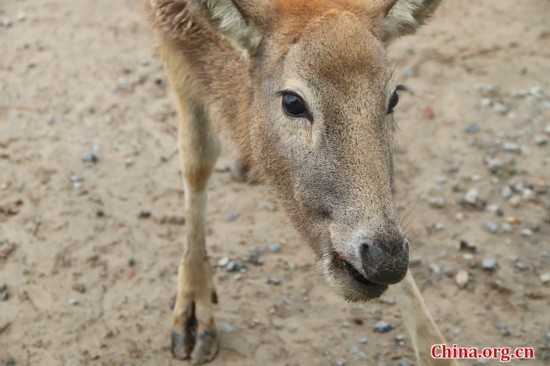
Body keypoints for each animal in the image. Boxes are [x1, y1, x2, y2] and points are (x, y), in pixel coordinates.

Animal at [147, 0, 458, 364]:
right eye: (293, 102)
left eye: (393, 97)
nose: (387, 259)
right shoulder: (169, 33)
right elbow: (196, 158)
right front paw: (193, 317)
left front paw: (433, 347)